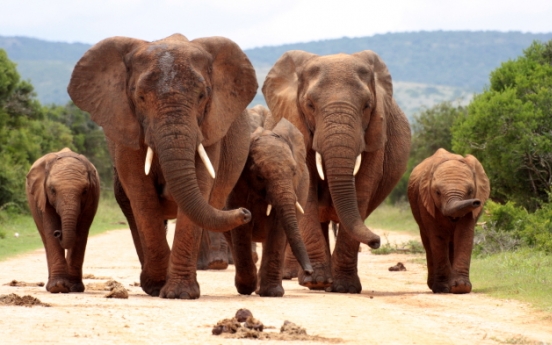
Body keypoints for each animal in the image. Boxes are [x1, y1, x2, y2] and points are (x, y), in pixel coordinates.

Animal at [25, 146, 100, 292]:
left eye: (85, 191)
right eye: (52, 190)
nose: (58, 233)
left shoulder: (92, 198)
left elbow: (81, 232)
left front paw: (74, 287)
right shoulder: (43, 196)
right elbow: (50, 228)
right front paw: (58, 287)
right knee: (45, 238)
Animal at [68, 35, 258, 298]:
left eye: (202, 96)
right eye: (140, 98)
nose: (245, 212)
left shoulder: (209, 128)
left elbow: (200, 186)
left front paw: (180, 293)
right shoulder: (126, 127)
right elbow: (141, 195)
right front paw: (158, 286)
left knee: (216, 208)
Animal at [223, 105, 310, 296]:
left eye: (294, 172)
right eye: (260, 177)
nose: (309, 271)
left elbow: (277, 227)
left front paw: (272, 293)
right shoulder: (237, 184)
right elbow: (241, 227)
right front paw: (246, 288)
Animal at [262, 48, 410, 292]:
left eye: (367, 106)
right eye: (310, 105)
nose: (377, 241)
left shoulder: (376, 132)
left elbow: (363, 187)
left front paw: (345, 288)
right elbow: (308, 187)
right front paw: (318, 282)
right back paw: (309, 279)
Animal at [406, 148, 492, 292]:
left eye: (470, 191)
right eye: (437, 192)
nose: (476, 202)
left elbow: (464, 235)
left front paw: (461, 288)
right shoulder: (426, 203)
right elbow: (438, 238)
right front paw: (442, 288)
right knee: (429, 243)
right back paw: (434, 286)